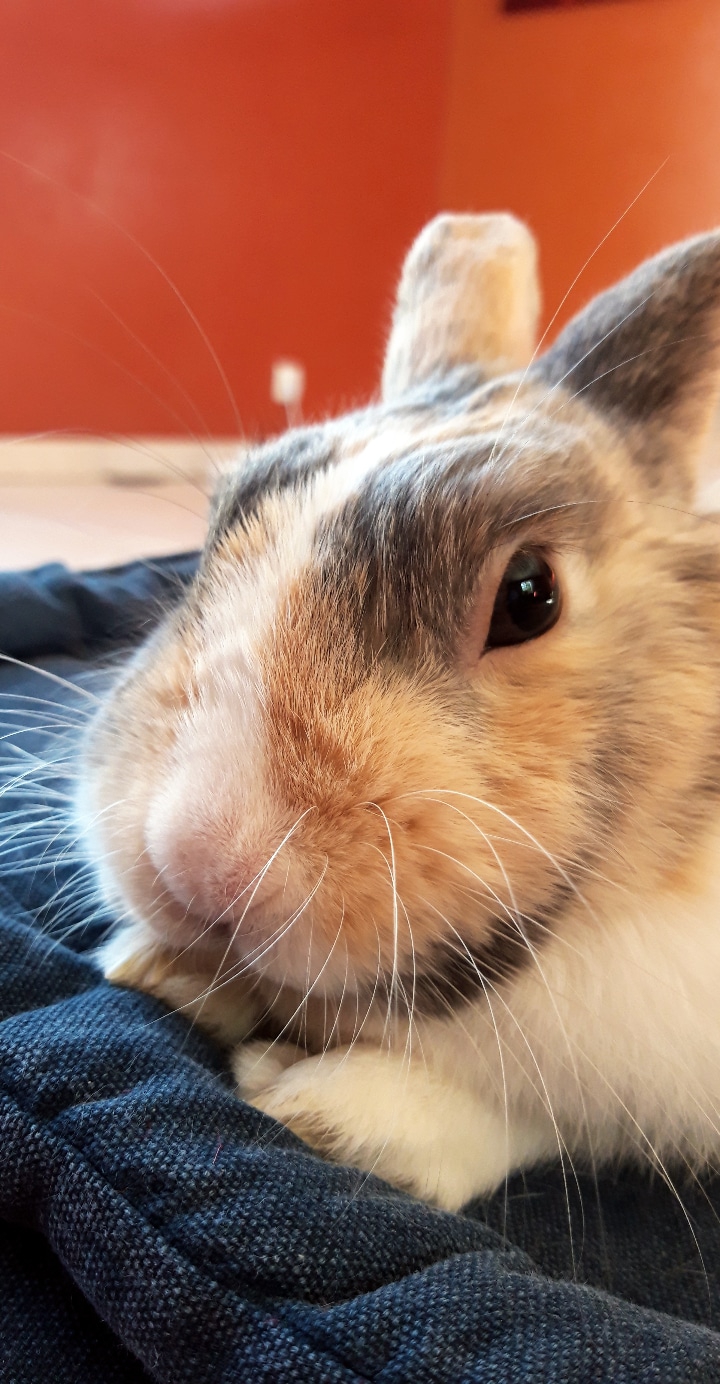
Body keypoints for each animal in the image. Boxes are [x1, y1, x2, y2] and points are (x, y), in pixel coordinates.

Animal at [80, 211, 720, 1212]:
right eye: (217, 524)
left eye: (528, 595)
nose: (197, 861)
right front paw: (157, 966)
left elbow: (552, 1107)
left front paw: (321, 1108)